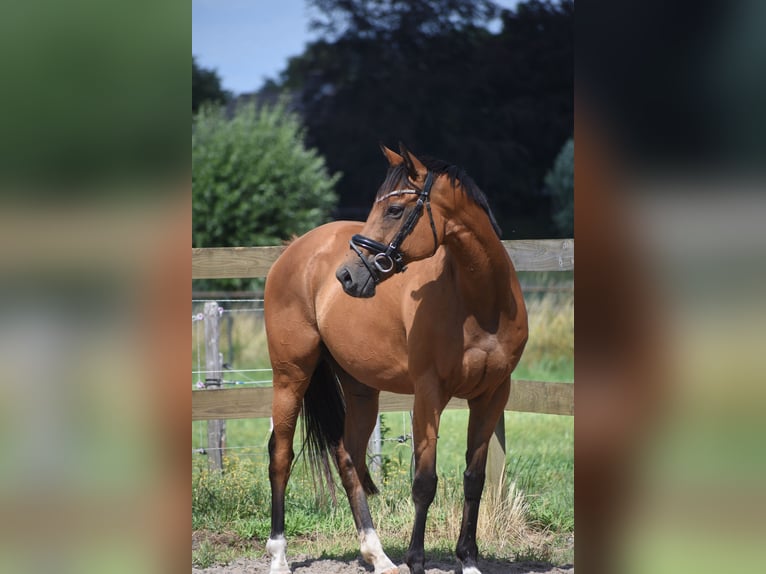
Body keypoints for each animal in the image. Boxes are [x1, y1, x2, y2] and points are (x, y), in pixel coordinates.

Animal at [263, 143, 528, 574]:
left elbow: (474, 478)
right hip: (290, 376)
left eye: (394, 210)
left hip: (360, 390)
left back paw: (378, 555)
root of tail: (295, 250)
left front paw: (469, 560)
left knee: (347, 458)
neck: (480, 302)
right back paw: (278, 556)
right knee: (281, 456)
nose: (347, 276)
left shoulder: (492, 396)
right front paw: (416, 561)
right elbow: (424, 482)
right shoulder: (428, 395)